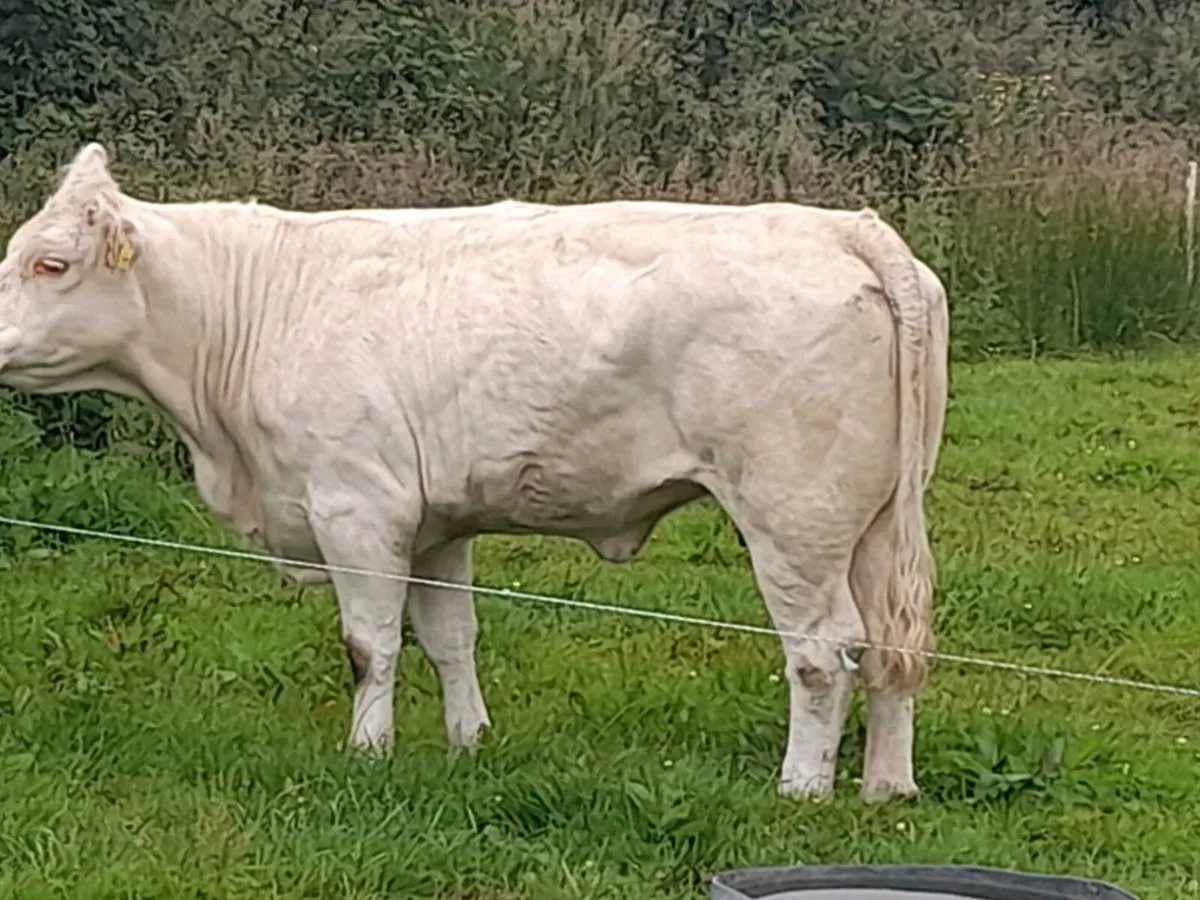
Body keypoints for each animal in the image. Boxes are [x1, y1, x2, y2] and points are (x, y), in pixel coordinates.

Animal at [0, 143, 949, 803]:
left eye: (51, 263)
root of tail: (839, 225)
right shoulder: (434, 522)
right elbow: (450, 638)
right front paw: (468, 743)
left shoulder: (357, 507)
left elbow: (370, 645)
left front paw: (368, 752)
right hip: (874, 520)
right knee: (893, 643)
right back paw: (885, 786)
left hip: (792, 517)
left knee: (823, 650)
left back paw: (803, 786)